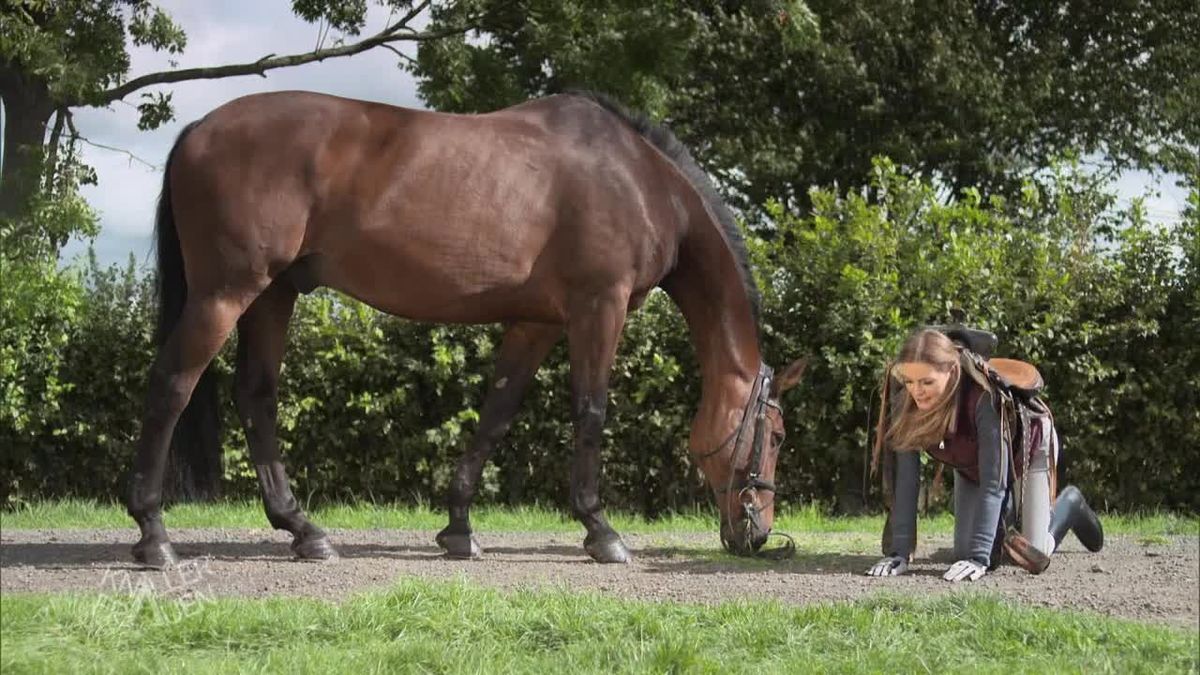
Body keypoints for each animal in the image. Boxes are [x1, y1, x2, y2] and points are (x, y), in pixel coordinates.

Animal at [129, 88, 806, 562]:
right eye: (774, 435)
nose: (758, 534)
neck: (639, 181)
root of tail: (197, 130)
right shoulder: (599, 307)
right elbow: (590, 412)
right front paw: (601, 530)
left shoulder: (535, 323)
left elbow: (495, 416)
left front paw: (458, 527)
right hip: (226, 293)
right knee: (170, 388)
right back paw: (154, 536)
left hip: (273, 295)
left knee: (257, 399)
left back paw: (304, 530)